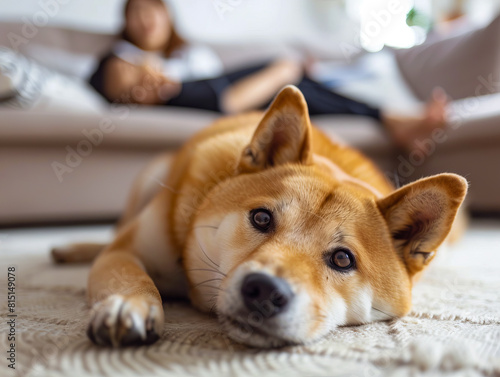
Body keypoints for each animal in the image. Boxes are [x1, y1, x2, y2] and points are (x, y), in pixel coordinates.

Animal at [54, 85, 468, 346]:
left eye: (342, 259)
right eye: (262, 219)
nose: (265, 291)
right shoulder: (128, 252)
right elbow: (133, 277)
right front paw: (130, 305)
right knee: (112, 234)